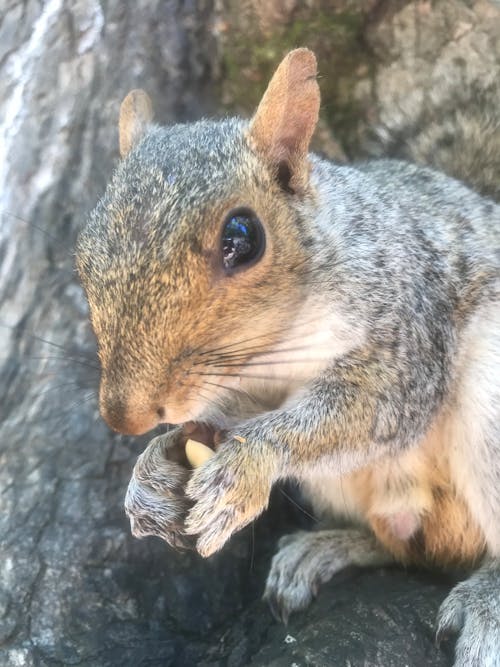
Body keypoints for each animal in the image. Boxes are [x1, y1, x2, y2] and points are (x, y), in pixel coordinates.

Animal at [75, 49, 500, 664]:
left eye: (242, 236)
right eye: (82, 254)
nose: (124, 417)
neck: (276, 343)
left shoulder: (409, 330)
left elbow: (376, 404)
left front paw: (248, 464)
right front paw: (152, 470)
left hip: (491, 413)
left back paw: (487, 599)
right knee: (407, 546)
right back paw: (326, 548)